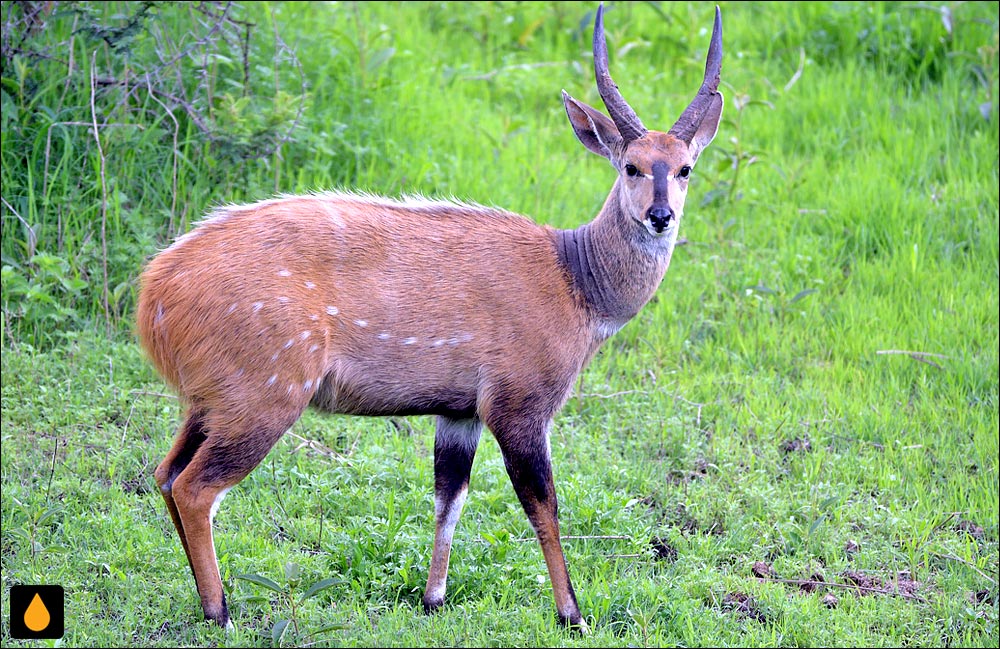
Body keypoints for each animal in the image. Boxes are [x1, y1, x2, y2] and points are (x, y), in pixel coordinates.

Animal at [137, 3, 724, 632]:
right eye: (632, 166)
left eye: (685, 168)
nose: (660, 216)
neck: (576, 282)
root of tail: (154, 293)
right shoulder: (518, 404)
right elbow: (543, 505)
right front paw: (572, 614)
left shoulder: (459, 411)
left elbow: (449, 498)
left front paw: (433, 598)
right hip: (264, 394)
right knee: (195, 487)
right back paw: (220, 611)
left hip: (209, 401)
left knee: (165, 474)